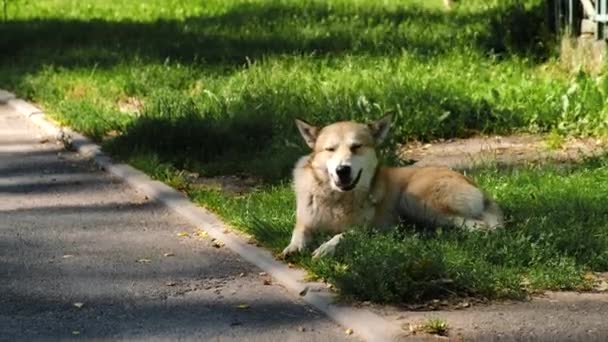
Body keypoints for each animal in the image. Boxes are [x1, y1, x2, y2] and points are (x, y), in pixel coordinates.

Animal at [282, 116, 502, 258]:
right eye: (330, 149)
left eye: (356, 147)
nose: (342, 170)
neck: (337, 199)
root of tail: (470, 182)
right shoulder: (305, 221)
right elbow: (299, 233)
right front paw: (293, 248)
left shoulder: (366, 230)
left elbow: (341, 236)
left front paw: (326, 248)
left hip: (413, 200)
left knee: (479, 226)